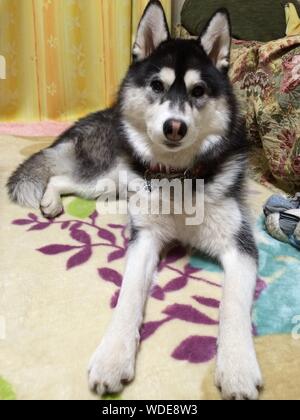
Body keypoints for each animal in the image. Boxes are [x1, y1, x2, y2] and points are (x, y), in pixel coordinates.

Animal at [7, 0, 262, 400]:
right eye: (157, 85)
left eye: (199, 90)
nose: (175, 127)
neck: (177, 180)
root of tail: (104, 114)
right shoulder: (145, 240)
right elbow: (128, 296)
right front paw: (113, 357)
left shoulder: (240, 246)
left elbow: (232, 307)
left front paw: (236, 366)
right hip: (108, 176)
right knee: (62, 176)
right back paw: (50, 202)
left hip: (111, 183)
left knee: (63, 177)